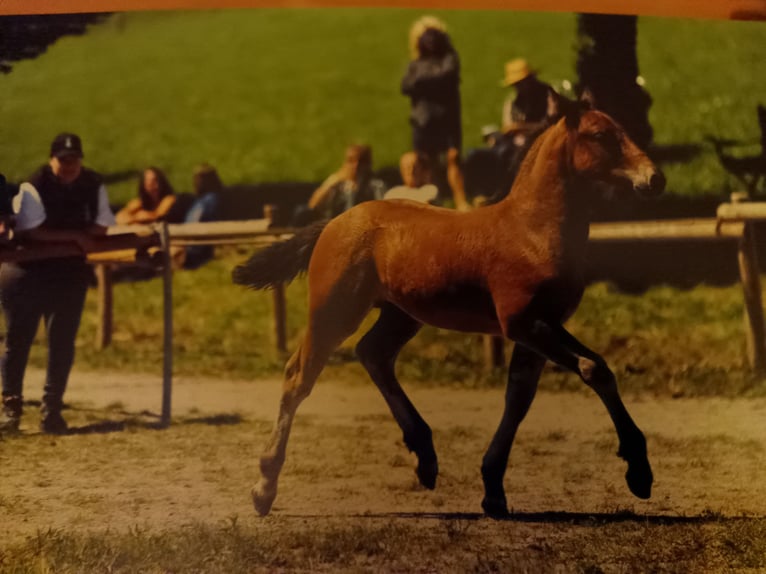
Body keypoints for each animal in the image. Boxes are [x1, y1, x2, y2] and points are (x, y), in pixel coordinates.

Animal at [233, 94, 665, 518]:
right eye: (600, 135)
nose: (654, 179)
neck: (533, 230)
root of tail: (335, 221)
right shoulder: (523, 323)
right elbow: (595, 369)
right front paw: (639, 472)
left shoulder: (542, 327)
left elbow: (519, 398)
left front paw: (493, 491)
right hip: (334, 310)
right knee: (298, 377)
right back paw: (263, 489)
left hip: (402, 314)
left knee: (373, 354)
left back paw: (425, 457)